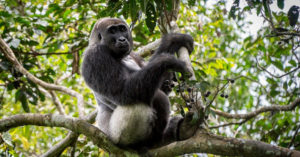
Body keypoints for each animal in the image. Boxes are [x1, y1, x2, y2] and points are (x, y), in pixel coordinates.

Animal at [81, 17, 196, 149]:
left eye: (122, 29)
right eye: (112, 31)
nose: (122, 39)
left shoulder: (133, 54)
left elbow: (159, 84)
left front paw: (174, 40)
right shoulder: (95, 55)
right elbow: (124, 91)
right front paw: (167, 60)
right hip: (116, 137)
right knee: (149, 100)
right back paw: (149, 142)